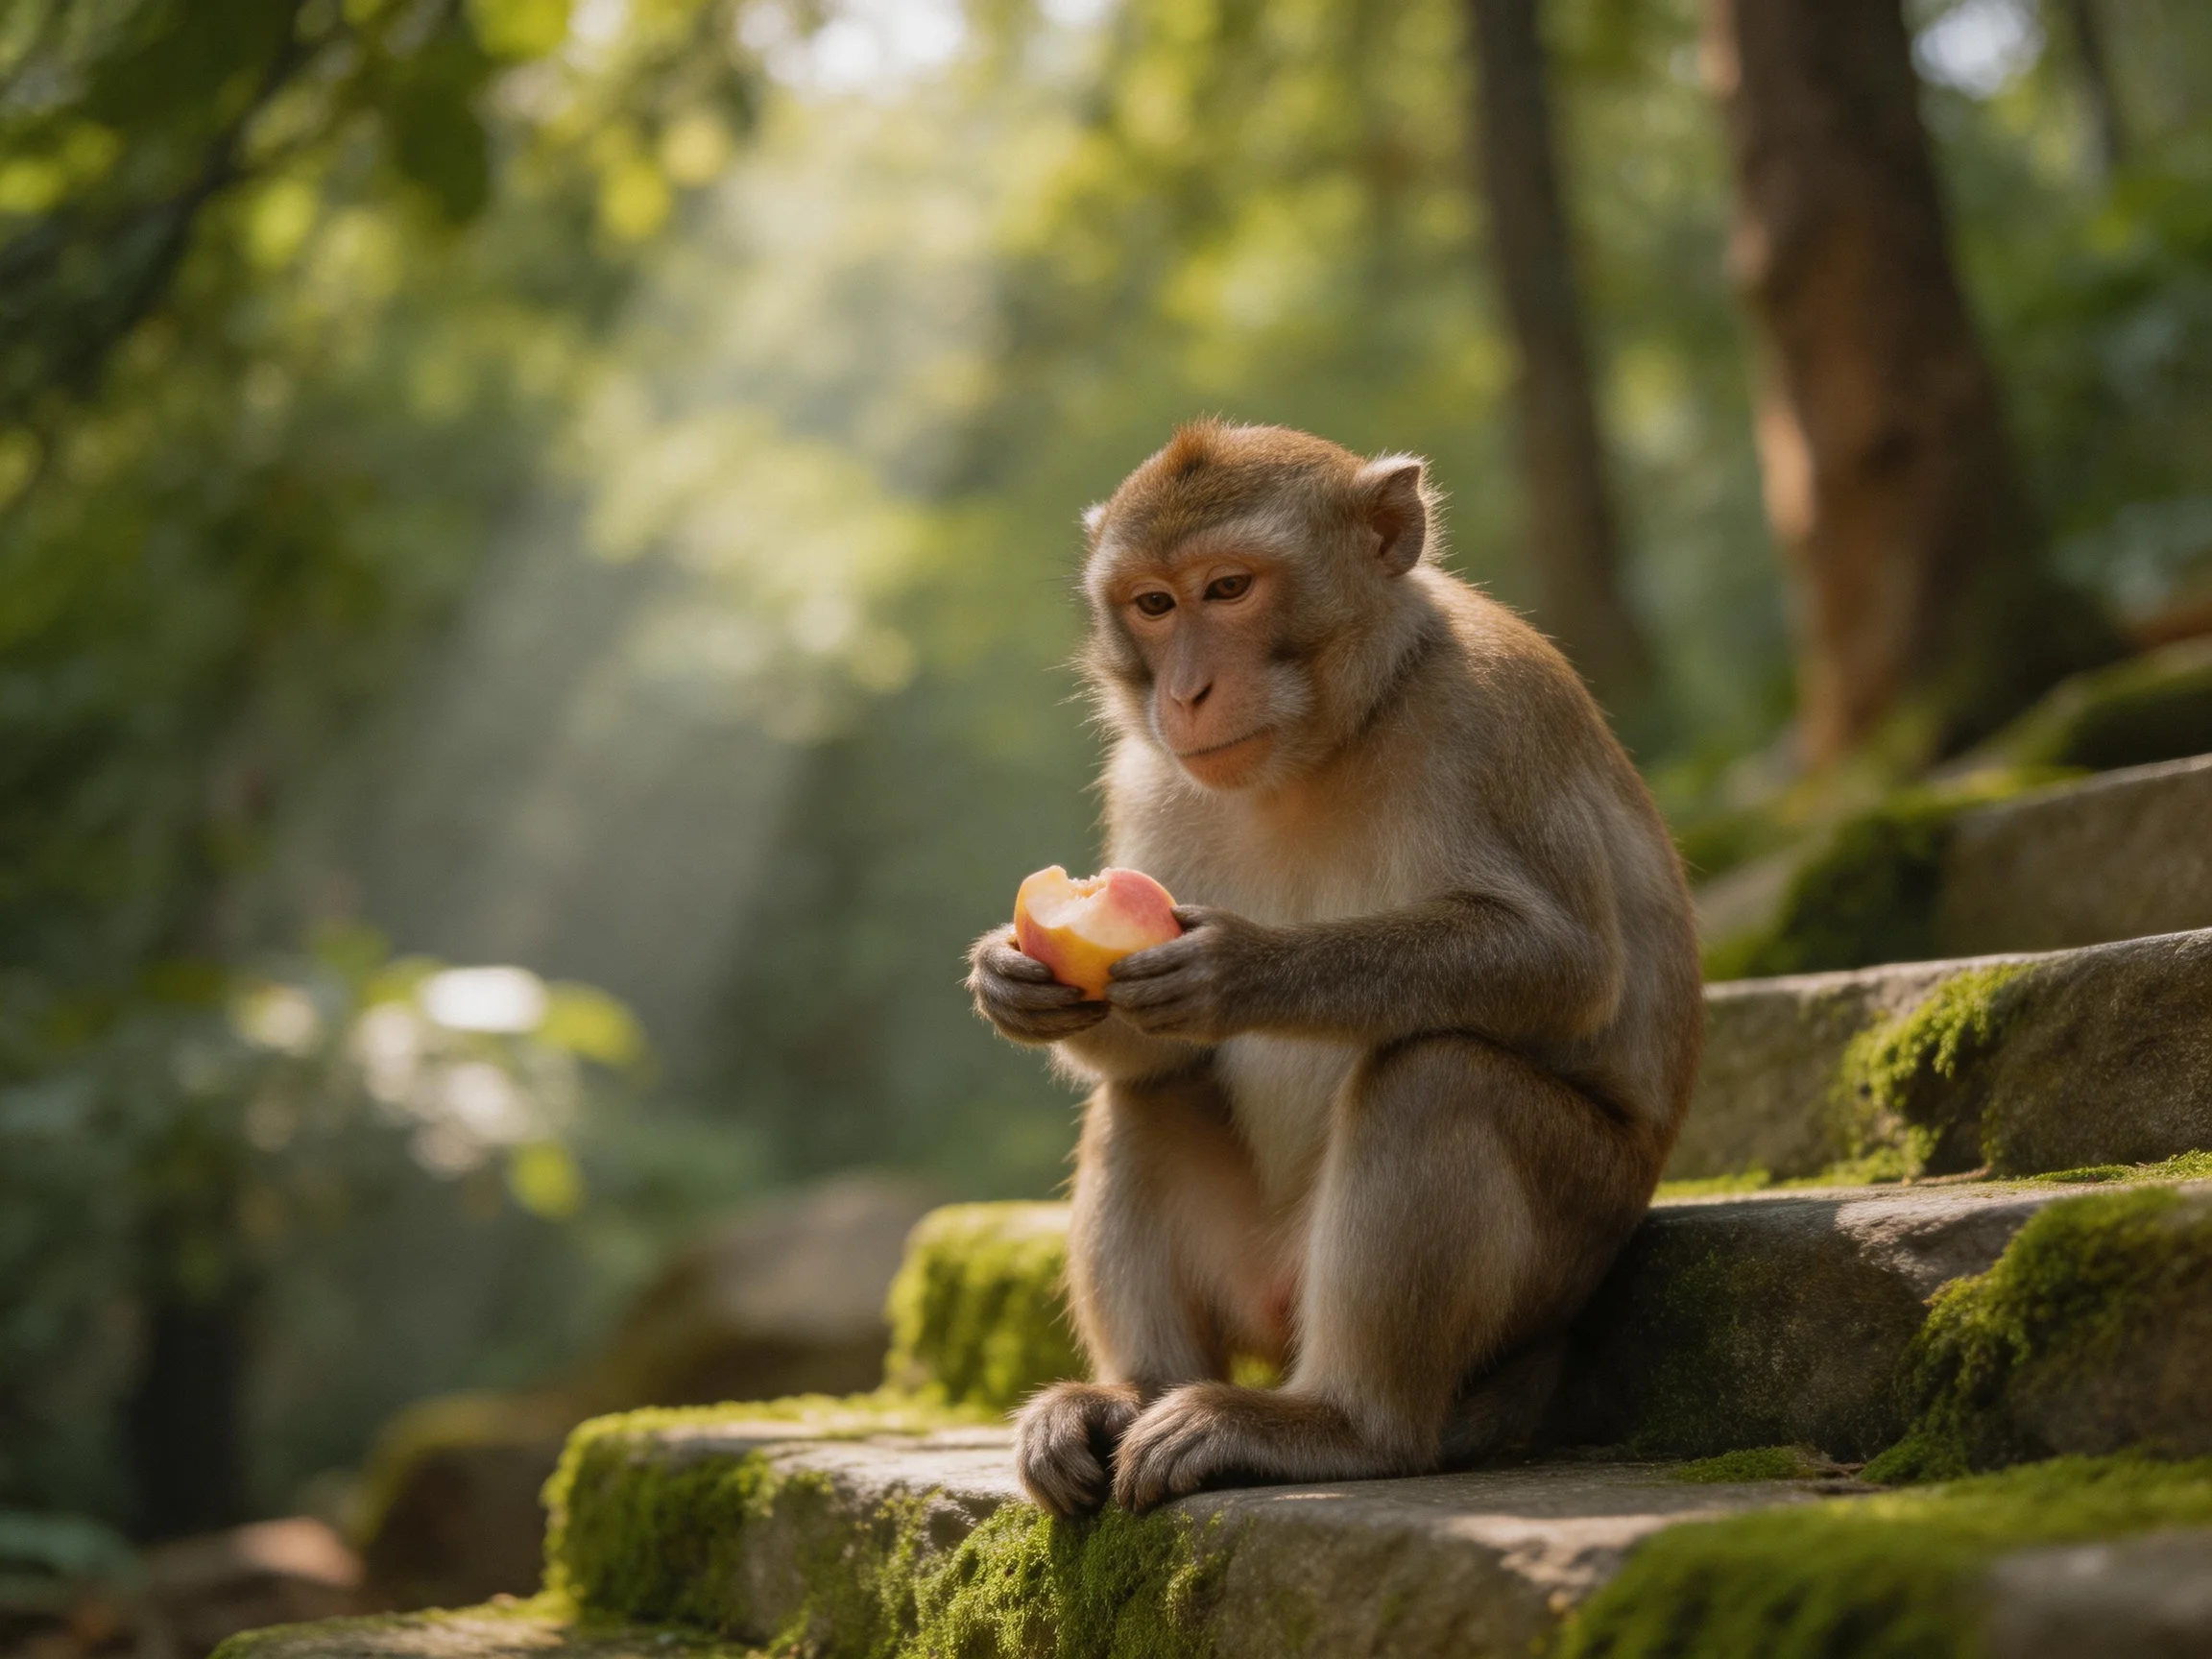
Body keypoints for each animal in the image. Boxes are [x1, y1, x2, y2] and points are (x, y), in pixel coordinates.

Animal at [965, 420, 1702, 1516]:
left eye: (1229, 588)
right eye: (1154, 605)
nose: (1185, 693)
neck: (1322, 747)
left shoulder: (1487, 710)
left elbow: (1566, 963)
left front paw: (1241, 968)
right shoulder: (1145, 774)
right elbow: (1148, 1057)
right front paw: (1008, 981)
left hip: (1576, 1233)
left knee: (1437, 1077)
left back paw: (1343, 1426)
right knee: (1148, 1099)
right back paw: (1128, 1396)